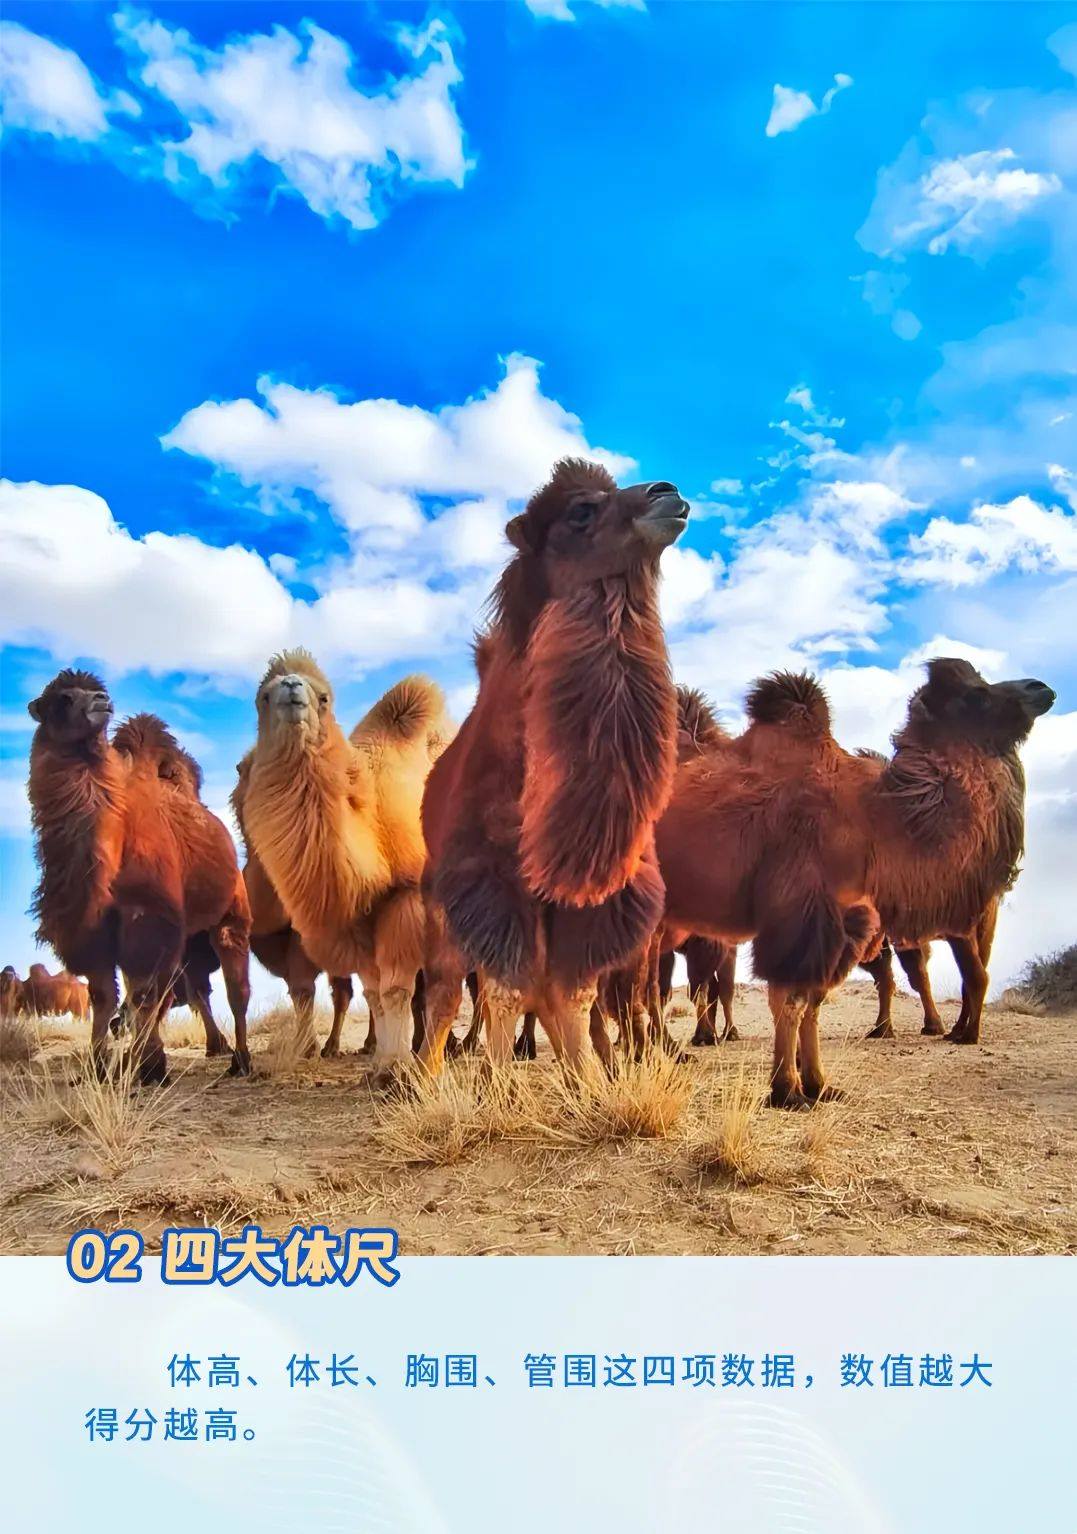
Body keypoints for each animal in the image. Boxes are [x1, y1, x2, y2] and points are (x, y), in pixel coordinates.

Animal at [237, 652, 453, 1087]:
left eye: (324, 698)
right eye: (263, 697)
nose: (291, 687)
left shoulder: (403, 899)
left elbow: (396, 990)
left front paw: (395, 1069)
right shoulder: (355, 925)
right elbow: (374, 994)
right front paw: (381, 1066)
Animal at [419, 458, 689, 1077]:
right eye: (581, 511)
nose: (668, 492)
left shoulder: (597, 893)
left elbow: (574, 992)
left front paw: (588, 1081)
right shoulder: (489, 881)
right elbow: (504, 990)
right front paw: (496, 1087)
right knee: (449, 988)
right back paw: (420, 1073)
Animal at [656, 671, 881, 1107]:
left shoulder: (835, 929)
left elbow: (813, 1000)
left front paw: (818, 1084)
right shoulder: (794, 917)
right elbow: (785, 999)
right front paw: (787, 1090)